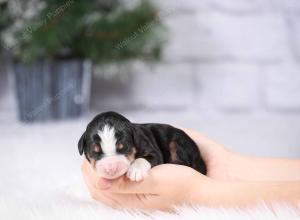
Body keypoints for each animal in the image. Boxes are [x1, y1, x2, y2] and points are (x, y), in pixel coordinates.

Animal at [77, 111, 206, 181]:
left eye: (123, 147)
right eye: (95, 151)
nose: (111, 168)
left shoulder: (153, 151)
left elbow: (143, 159)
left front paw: (135, 170)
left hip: (179, 142)